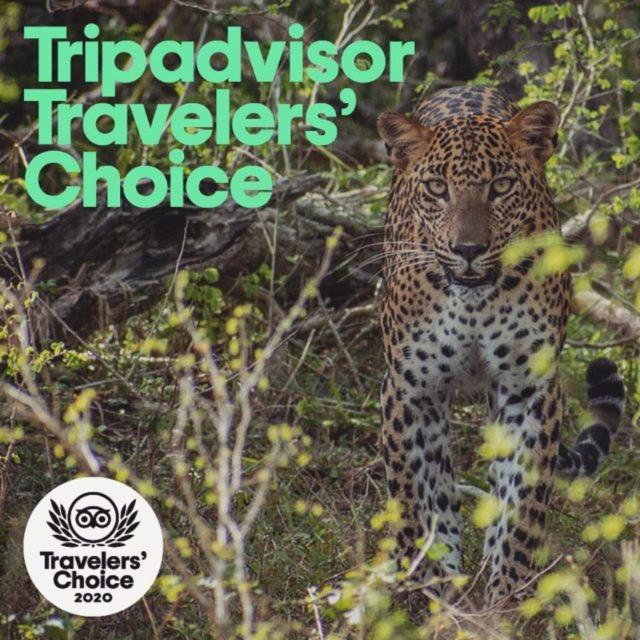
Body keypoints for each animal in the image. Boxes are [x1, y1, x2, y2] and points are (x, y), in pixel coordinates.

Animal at [376, 85, 625, 607]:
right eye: (437, 188)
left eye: (502, 186)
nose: (468, 249)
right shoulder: (410, 389)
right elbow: (412, 495)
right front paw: (423, 589)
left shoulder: (527, 389)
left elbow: (522, 501)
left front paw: (507, 596)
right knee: (441, 485)